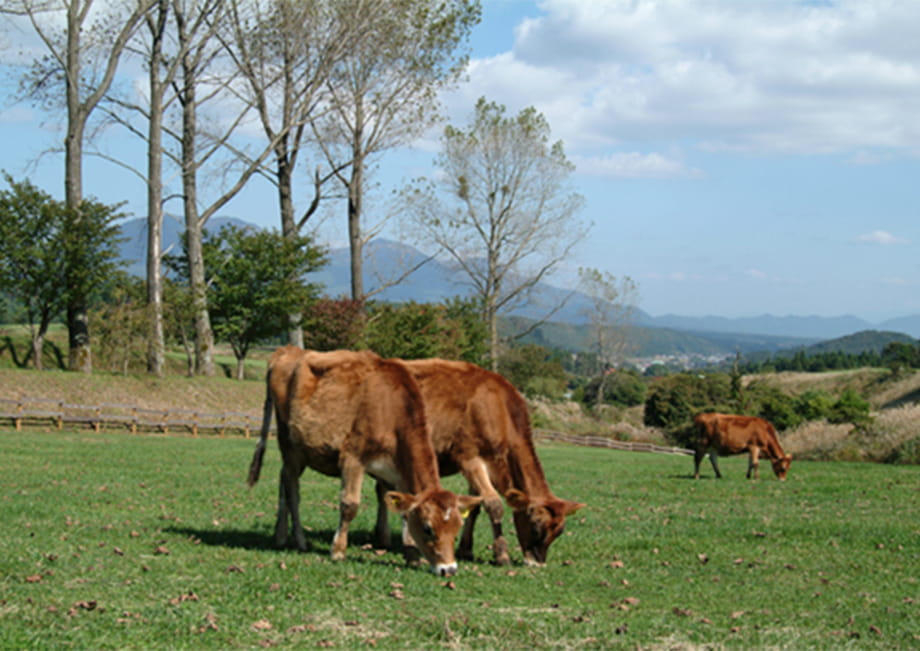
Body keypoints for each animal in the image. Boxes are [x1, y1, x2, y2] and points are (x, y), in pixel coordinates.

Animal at [248, 346, 486, 576]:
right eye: (428, 528)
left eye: (456, 529)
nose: (449, 569)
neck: (390, 410)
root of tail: (289, 350)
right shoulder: (353, 457)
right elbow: (350, 505)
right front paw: (338, 551)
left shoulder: (398, 472)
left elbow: (403, 512)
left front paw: (411, 555)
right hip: (289, 444)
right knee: (292, 489)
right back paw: (299, 540)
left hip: (301, 452)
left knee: (283, 481)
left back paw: (280, 535)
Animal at [372, 360, 584, 568]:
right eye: (535, 527)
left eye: (559, 532)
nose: (537, 564)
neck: (499, 408)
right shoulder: (469, 458)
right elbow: (494, 505)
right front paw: (502, 555)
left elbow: (474, 507)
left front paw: (466, 550)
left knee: (383, 490)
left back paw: (382, 538)